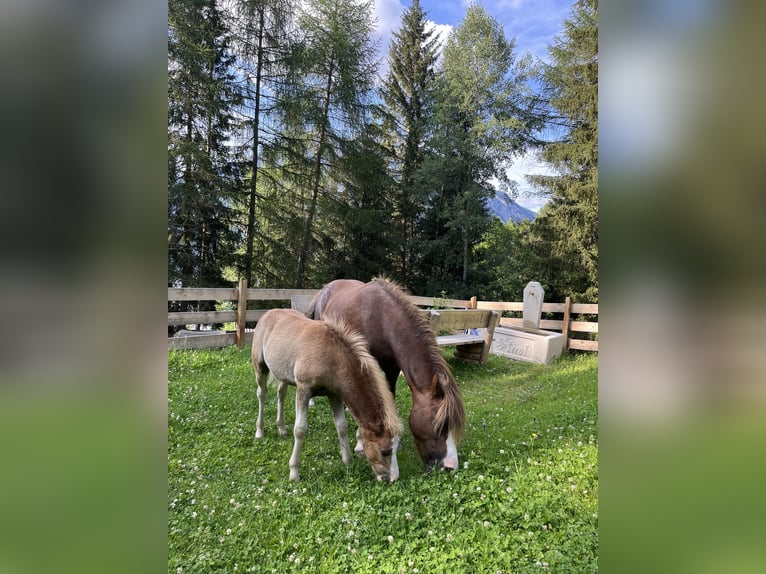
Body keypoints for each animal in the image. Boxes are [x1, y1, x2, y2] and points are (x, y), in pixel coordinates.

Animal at [308, 280, 468, 472]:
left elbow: (389, 399)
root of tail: (325, 290)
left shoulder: (392, 370)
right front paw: (360, 444)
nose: (450, 466)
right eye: (441, 426)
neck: (382, 320)